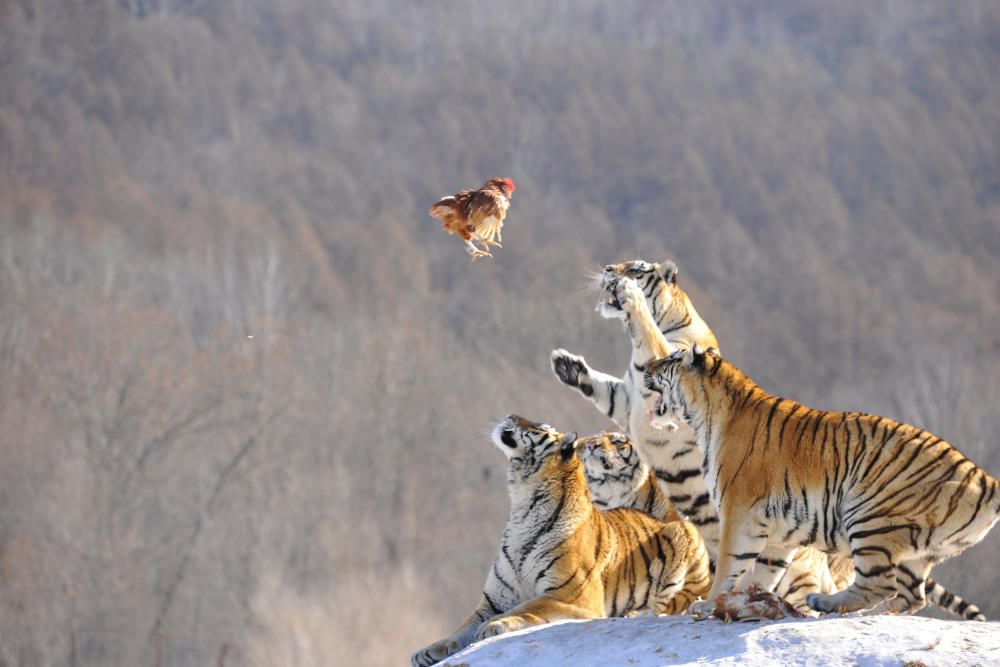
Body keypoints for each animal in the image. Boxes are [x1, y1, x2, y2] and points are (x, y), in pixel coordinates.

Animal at [412, 414, 712, 664]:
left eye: (540, 427)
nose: (510, 415)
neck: (521, 504)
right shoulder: (493, 600)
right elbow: (462, 628)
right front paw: (428, 650)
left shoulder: (572, 594)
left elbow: (531, 605)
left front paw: (496, 625)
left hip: (682, 546)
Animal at [644, 348, 996, 620]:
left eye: (670, 360)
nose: (645, 367)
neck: (706, 417)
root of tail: (985, 478)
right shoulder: (778, 531)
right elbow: (765, 572)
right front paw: (748, 600)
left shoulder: (739, 513)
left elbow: (730, 564)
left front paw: (707, 604)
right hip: (915, 552)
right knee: (912, 596)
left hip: (869, 515)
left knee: (879, 585)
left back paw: (825, 603)